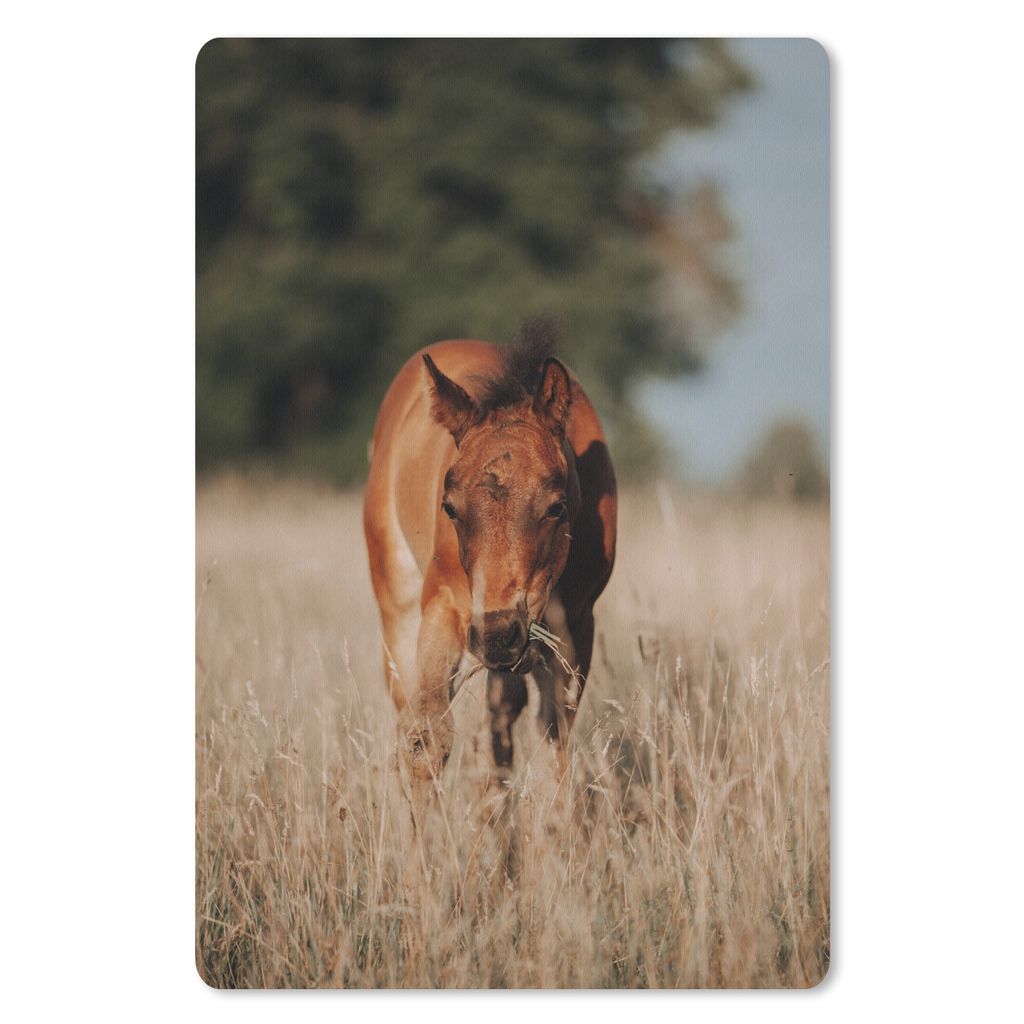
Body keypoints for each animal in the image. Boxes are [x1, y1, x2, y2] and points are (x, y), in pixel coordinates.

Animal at [363, 326, 617, 803]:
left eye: (556, 507)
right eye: (449, 507)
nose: (498, 635)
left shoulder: (575, 624)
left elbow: (553, 740)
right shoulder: (444, 604)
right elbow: (427, 736)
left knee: (500, 723)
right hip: (397, 602)